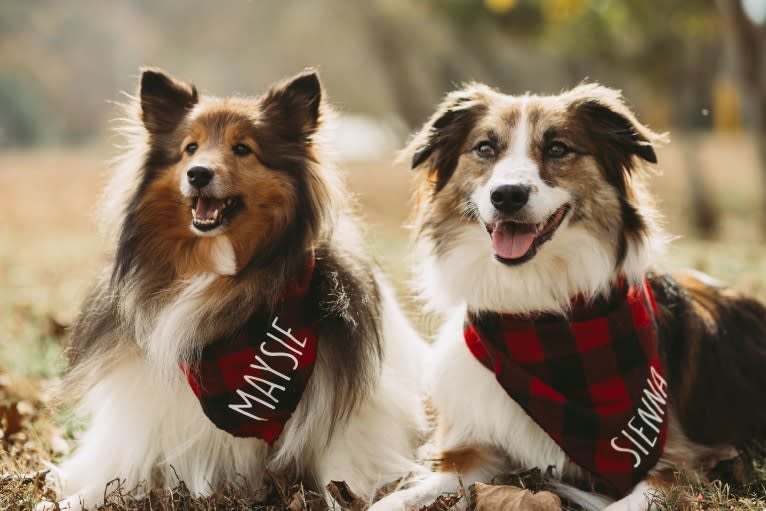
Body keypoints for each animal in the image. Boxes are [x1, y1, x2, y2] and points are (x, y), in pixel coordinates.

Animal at [372, 84, 766, 511]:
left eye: (558, 148)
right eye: (485, 148)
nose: (507, 195)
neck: (536, 310)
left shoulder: (678, 466)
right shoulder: (470, 454)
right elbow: (398, 499)